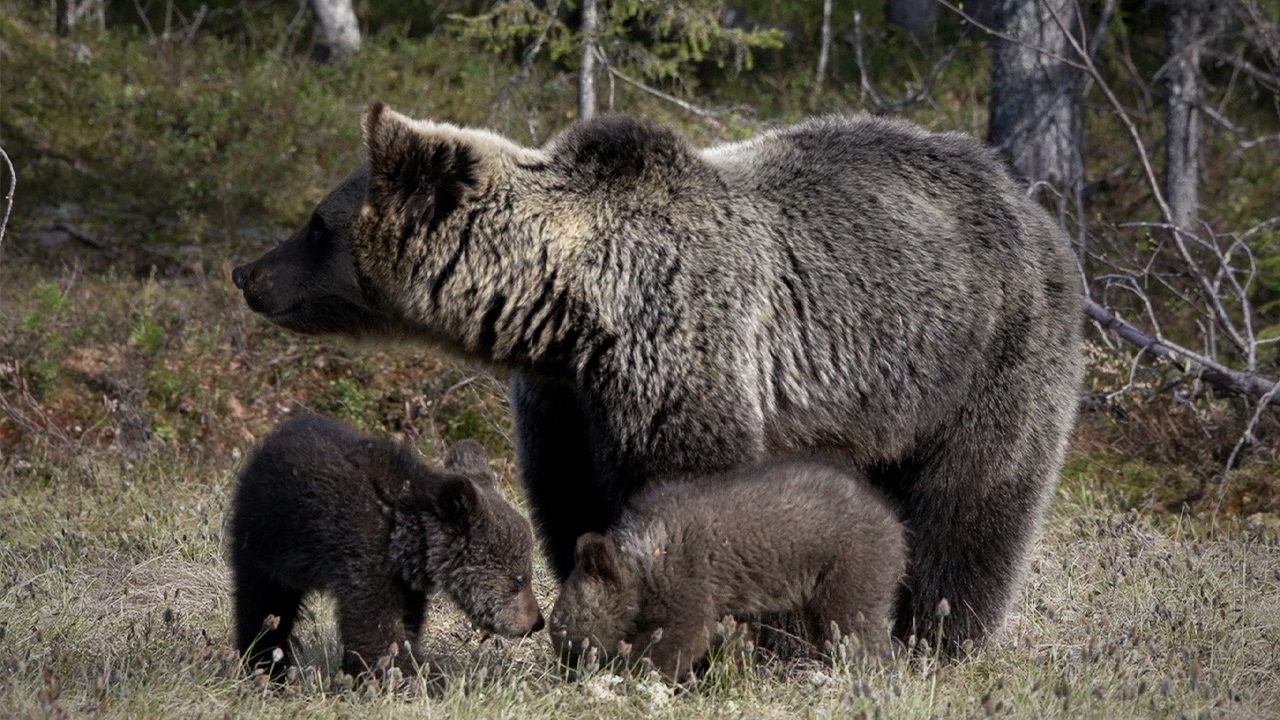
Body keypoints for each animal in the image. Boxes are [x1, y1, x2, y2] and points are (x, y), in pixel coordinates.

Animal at [226, 414, 544, 678]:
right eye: (520, 577)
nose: (536, 622)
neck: (402, 539)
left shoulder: (406, 584)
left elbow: (406, 625)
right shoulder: (364, 557)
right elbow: (378, 630)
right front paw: (418, 678)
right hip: (266, 545)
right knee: (262, 605)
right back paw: (265, 666)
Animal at [232, 107, 1084, 652]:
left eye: (316, 223)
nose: (247, 272)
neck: (570, 310)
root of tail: (1032, 203)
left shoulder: (680, 350)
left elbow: (692, 488)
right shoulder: (564, 404)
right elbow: (573, 504)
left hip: (984, 359)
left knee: (972, 505)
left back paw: (939, 636)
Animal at [548, 458, 906, 681]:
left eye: (571, 631)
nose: (565, 671)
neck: (644, 561)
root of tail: (894, 520)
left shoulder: (688, 583)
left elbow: (680, 639)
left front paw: (638, 675)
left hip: (850, 564)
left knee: (855, 626)